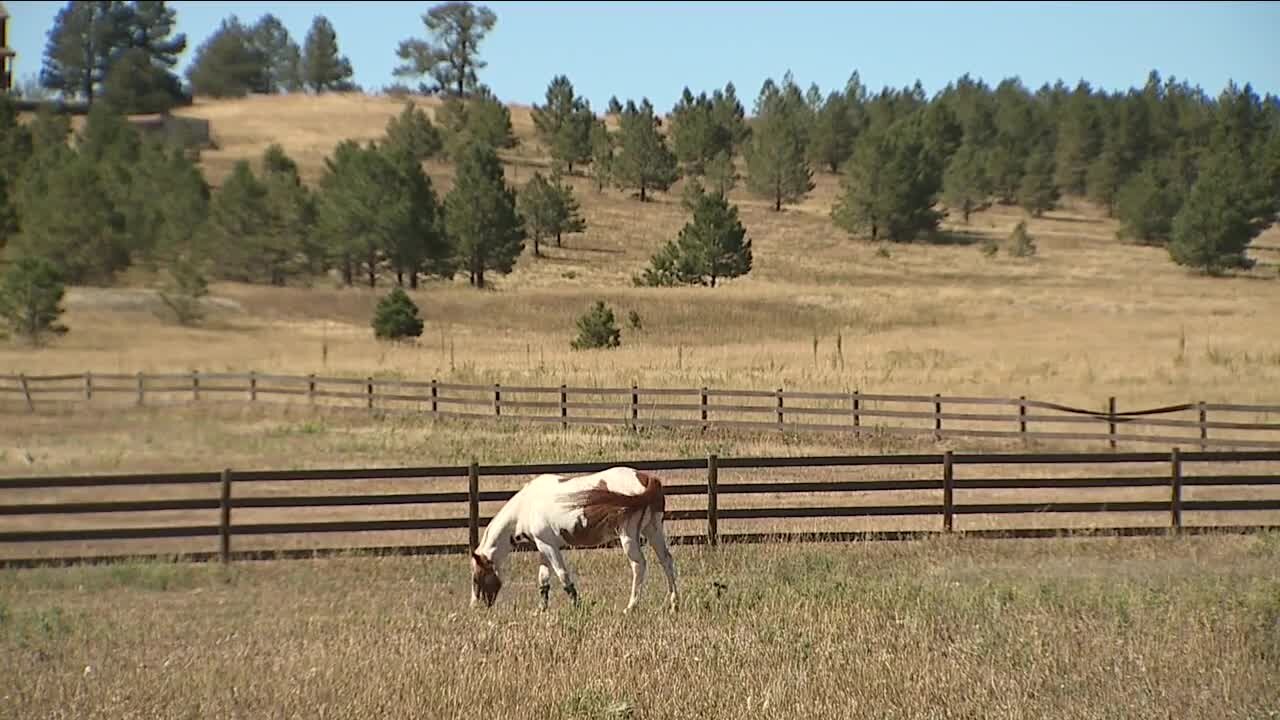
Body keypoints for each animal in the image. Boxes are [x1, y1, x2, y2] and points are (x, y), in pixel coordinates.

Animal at [465, 466, 675, 609]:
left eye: (476, 577)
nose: (475, 607)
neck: (527, 505)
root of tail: (646, 479)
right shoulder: (543, 546)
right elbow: (543, 580)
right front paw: (542, 609)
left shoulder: (550, 547)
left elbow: (563, 576)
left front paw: (577, 606)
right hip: (653, 529)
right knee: (666, 560)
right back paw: (674, 603)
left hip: (628, 536)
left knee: (639, 565)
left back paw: (631, 607)